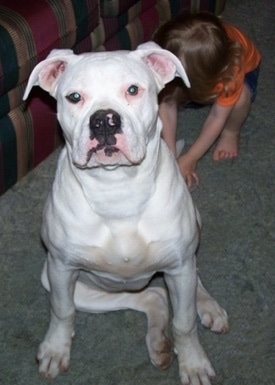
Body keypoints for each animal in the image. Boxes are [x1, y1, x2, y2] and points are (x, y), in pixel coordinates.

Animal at [23, 42, 230, 384]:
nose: (104, 121)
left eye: (133, 89)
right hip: (64, 282)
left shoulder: (179, 264)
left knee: (190, 279)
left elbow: (184, 323)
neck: (117, 190)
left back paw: (208, 307)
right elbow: (62, 312)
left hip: (185, 256)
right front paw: (55, 349)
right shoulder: (61, 269)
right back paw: (158, 342)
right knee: (152, 297)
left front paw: (193, 362)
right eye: (74, 97)